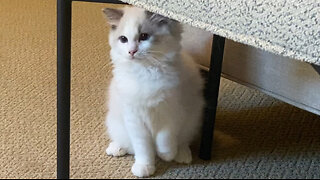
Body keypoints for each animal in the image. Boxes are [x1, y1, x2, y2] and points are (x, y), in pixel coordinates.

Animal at [102, 5, 204, 177]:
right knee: (126, 143)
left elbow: (165, 138)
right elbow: (143, 148)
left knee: (184, 141)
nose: (131, 51)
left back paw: (182, 155)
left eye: (144, 36)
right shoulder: (134, 118)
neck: (145, 71)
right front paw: (144, 167)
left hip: (192, 119)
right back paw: (116, 148)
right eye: (123, 39)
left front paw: (166, 155)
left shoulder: (171, 112)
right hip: (115, 122)